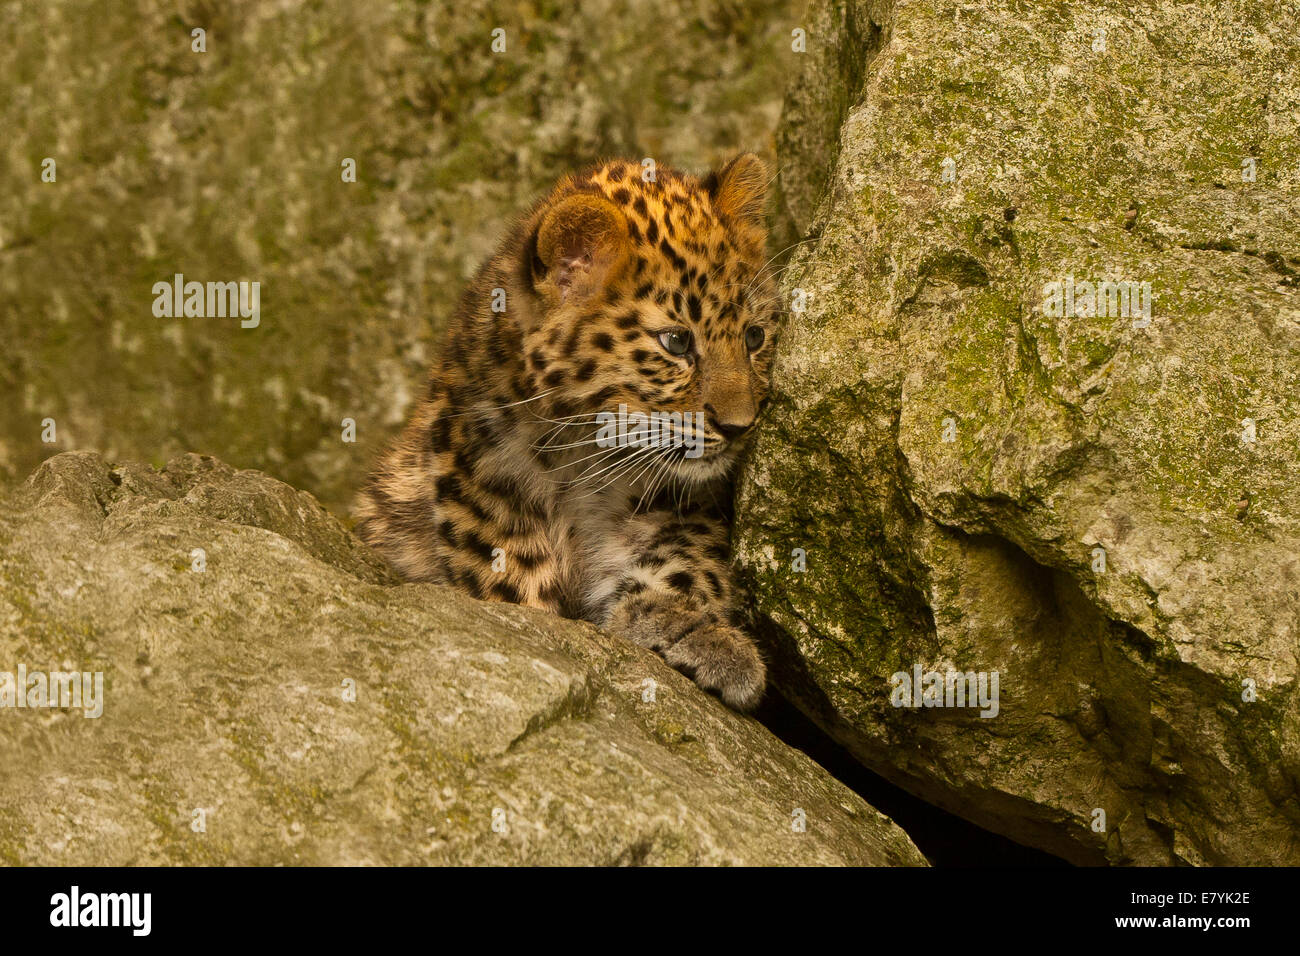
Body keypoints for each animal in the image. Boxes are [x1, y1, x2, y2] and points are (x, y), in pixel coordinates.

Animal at [354, 154, 779, 710]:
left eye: (754, 336)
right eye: (676, 342)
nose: (739, 426)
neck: (587, 458)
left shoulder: (687, 500)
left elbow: (685, 558)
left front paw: (690, 629)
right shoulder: (486, 485)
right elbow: (519, 585)